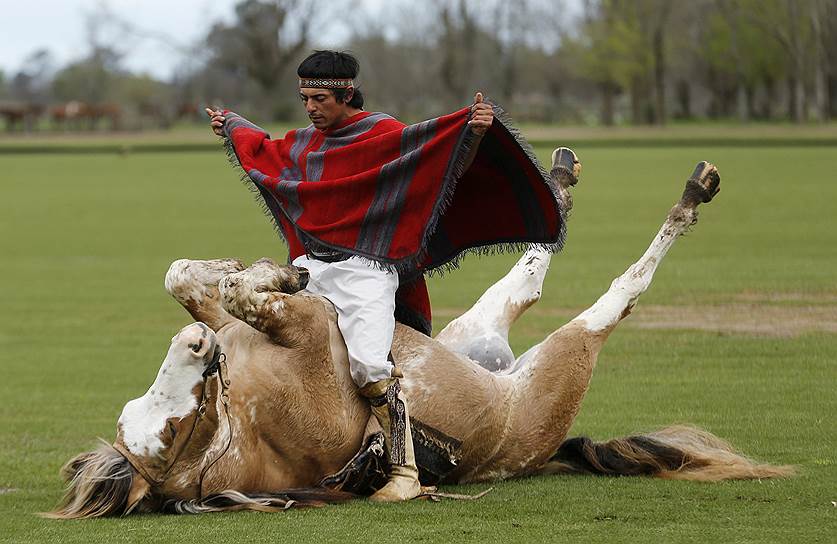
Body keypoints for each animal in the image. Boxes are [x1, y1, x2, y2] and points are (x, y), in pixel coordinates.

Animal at [45, 152, 792, 520]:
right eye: (177, 429)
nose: (197, 350)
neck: (244, 416)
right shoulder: (308, 335)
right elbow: (240, 294)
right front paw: (272, 274)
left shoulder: (246, 322)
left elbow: (192, 278)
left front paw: (266, 268)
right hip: (560, 358)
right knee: (607, 293)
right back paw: (688, 196)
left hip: (473, 336)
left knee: (526, 275)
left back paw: (559, 176)